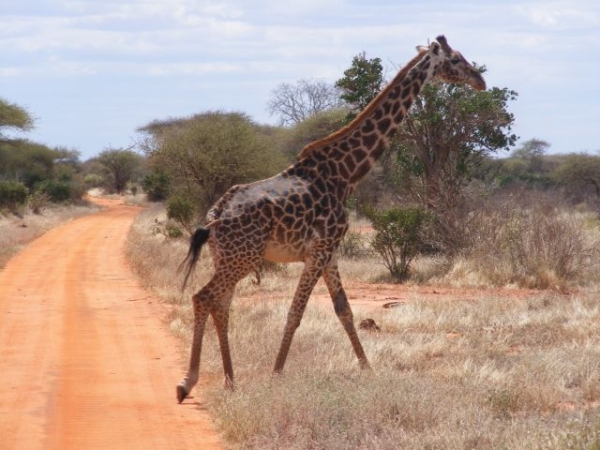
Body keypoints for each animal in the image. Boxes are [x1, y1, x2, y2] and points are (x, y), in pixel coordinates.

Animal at [176, 34, 486, 400]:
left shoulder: (331, 252)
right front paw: (277, 373)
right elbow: (296, 311)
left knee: (221, 304)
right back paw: (187, 382)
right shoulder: (320, 249)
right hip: (244, 257)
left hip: (225, 257)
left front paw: (368, 370)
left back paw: (230, 379)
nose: (480, 81)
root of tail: (215, 215)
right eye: (455, 60)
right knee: (204, 297)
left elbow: (344, 310)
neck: (346, 174)